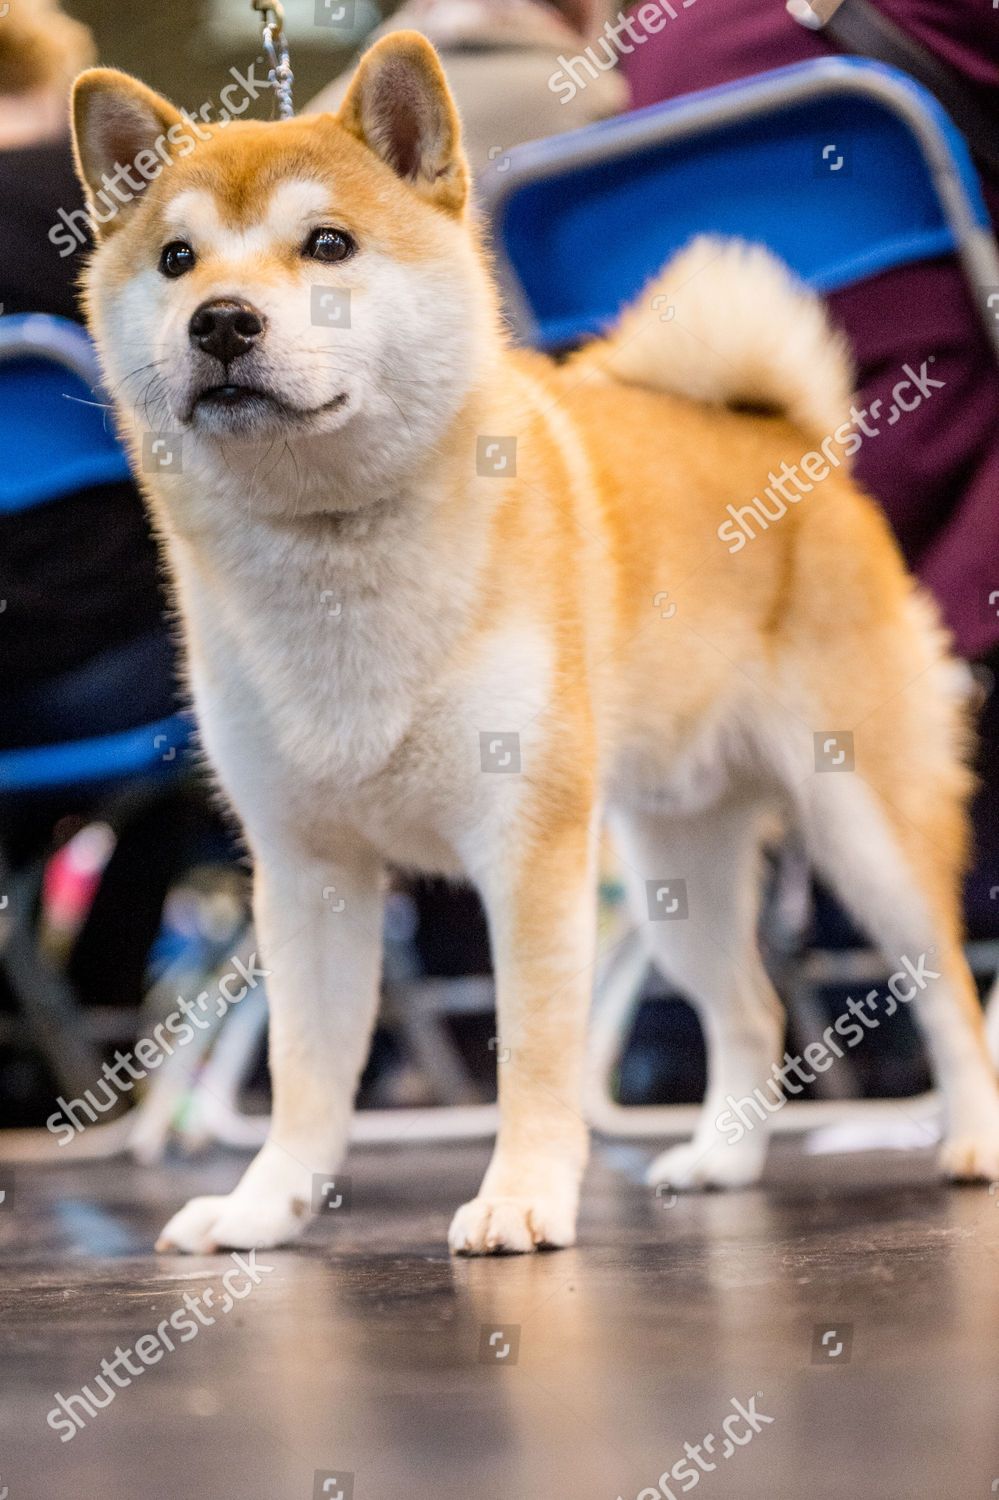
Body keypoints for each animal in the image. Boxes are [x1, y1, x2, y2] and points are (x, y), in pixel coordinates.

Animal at [70, 38, 996, 1254]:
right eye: (176, 259)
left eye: (328, 244)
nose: (220, 321)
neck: (333, 548)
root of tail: (787, 439)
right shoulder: (308, 871)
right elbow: (307, 1072)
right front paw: (265, 1207)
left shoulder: (530, 850)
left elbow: (537, 1056)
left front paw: (523, 1195)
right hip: (673, 864)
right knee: (749, 1007)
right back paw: (721, 1161)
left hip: (860, 826)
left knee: (946, 992)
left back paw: (973, 1143)